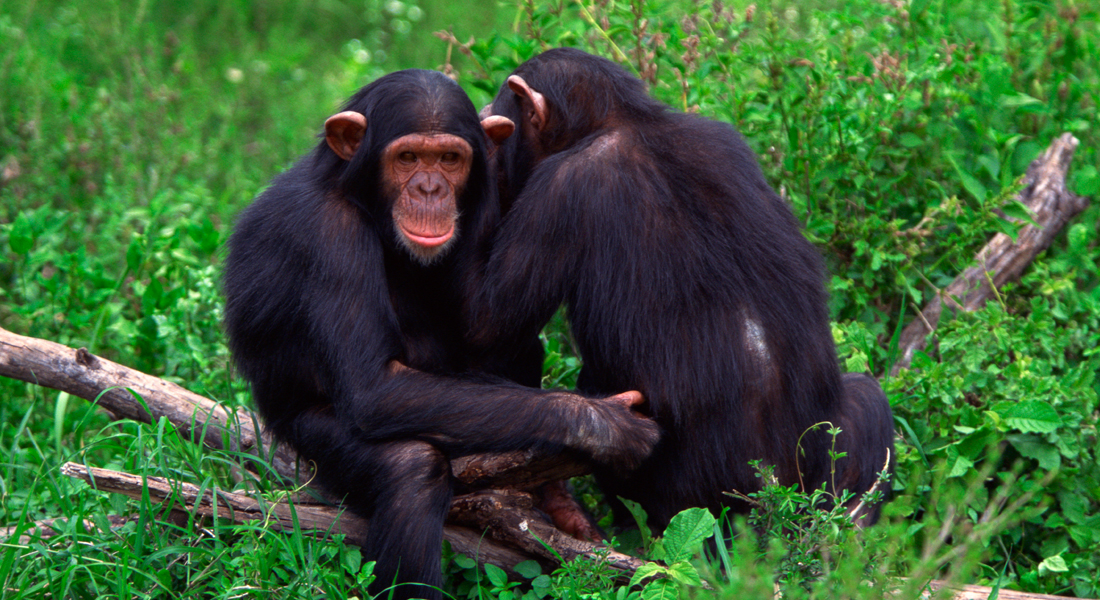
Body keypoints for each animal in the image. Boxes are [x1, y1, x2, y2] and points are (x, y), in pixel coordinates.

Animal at [218, 70, 655, 598]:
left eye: (450, 159)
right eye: (407, 158)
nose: (430, 189)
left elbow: (491, 322)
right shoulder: (328, 236)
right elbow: (375, 386)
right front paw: (602, 423)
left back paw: (556, 501)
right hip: (303, 438)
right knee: (411, 469)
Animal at [468, 48, 897, 530]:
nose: (485, 113)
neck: (622, 121)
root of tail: (777, 501)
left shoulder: (556, 190)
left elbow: (485, 325)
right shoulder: (726, 138)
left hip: (678, 501)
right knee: (868, 396)